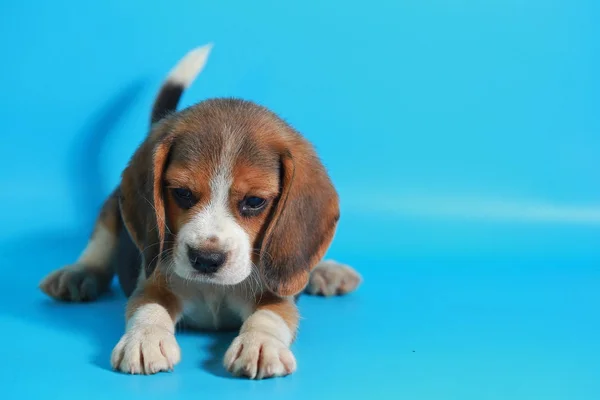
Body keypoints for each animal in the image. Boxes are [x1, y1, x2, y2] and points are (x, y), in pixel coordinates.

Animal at [43, 45, 360, 380]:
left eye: (255, 201)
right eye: (182, 193)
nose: (206, 259)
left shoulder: (276, 296)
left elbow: (268, 316)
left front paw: (259, 344)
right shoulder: (154, 283)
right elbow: (148, 308)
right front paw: (145, 339)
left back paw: (328, 271)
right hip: (111, 209)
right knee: (100, 243)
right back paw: (77, 273)